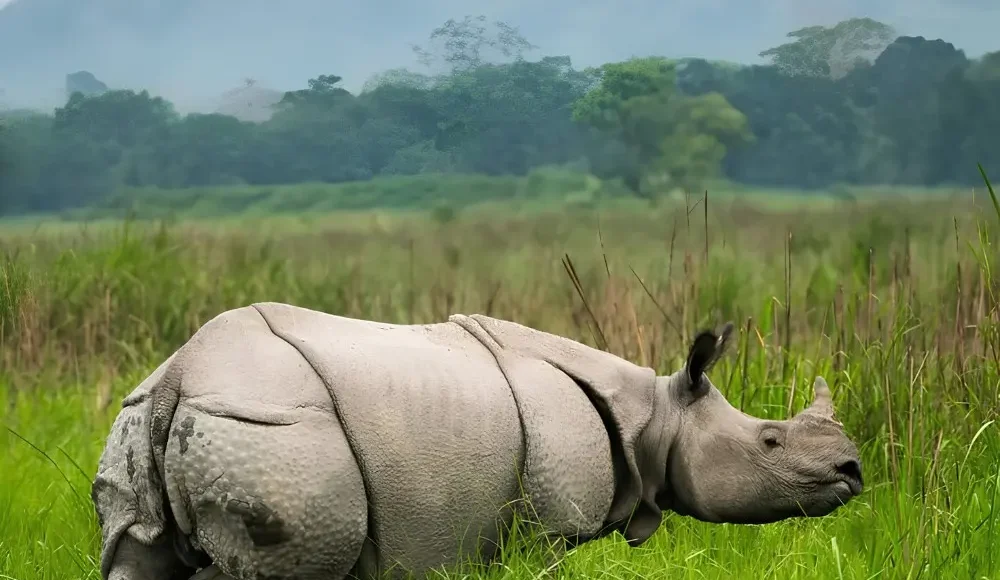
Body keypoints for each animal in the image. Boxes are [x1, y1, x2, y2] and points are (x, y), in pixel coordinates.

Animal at [91, 302, 863, 580]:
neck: (655, 415)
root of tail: (180, 375)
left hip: (141, 419)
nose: (853, 470)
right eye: (770, 442)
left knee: (137, 558)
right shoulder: (549, 524)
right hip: (276, 433)